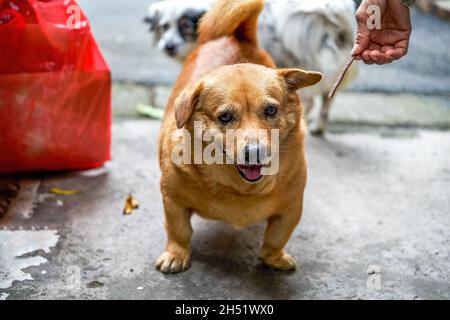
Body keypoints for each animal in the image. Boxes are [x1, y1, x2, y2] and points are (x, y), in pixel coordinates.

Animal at [146, 0, 356, 134]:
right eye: (164, 26)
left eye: (185, 26)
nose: (168, 46)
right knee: (326, 100)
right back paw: (318, 126)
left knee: (312, 100)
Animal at [156, 0, 322, 274]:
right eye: (225, 116)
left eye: (271, 110)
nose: (254, 152)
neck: (240, 190)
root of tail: (237, 35)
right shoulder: (173, 201)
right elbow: (178, 231)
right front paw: (176, 254)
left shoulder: (291, 209)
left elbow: (277, 237)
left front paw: (273, 257)